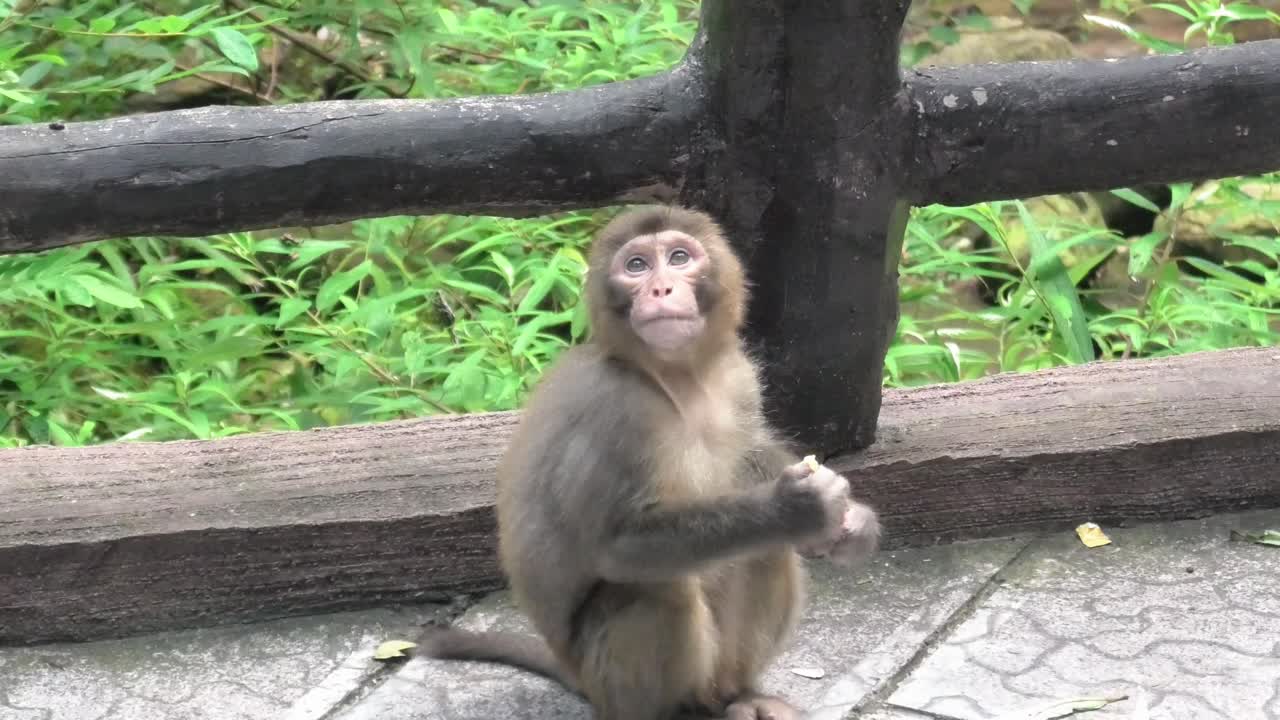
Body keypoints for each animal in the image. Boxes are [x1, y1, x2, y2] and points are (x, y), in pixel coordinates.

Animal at [422, 206, 881, 720]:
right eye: (636, 266)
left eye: (679, 257)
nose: (661, 289)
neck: (679, 378)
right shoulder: (616, 408)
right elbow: (617, 544)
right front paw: (794, 509)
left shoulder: (735, 374)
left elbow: (753, 452)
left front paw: (854, 520)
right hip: (605, 676)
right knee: (659, 586)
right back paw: (677, 710)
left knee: (764, 549)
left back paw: (739, 696)